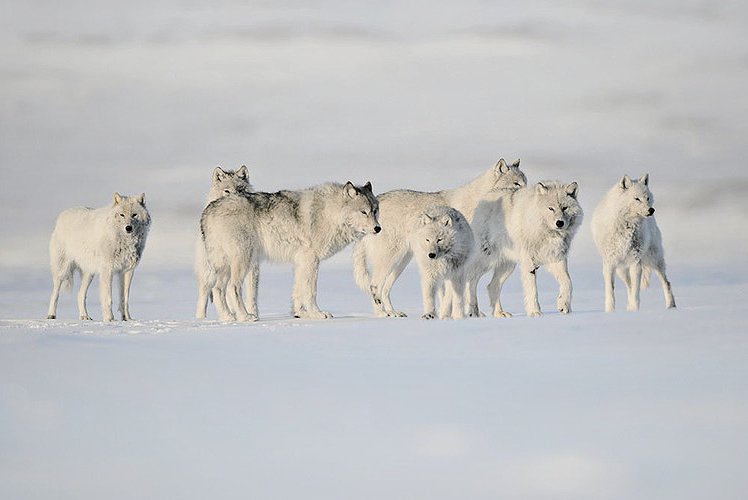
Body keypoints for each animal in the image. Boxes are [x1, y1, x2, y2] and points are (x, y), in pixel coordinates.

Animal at [47, 193, 151, 322]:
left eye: (134, 215)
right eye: (122, 215)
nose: (128, 227)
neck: (124, 241)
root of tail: (62, 215)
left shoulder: (127, 271)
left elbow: (124, 299)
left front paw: (127, 319)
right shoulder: (107, 271)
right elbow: (108, 298)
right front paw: (109, 319)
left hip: (89, 274)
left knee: (80, 295)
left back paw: (84, 316)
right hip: (62, 271)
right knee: (54, 293)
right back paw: (51, 315)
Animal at [201, 181, 380, 321]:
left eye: (375, 210)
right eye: (363, 211)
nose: (378, 228)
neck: (329, 213)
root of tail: (208, 210)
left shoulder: (301, 262)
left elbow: (298, 292)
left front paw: (300, 314)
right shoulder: (311, 260)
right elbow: (310, 291)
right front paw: (317, 314)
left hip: (223, 266)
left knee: (217, 289)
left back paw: (227, 318)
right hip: (243, 260)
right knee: (232, 288)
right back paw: (245, 317)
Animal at [352, 158, 526, 317]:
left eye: (526, 182)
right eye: (516, 184)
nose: (526, 195)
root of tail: (377, 202)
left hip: (402, 262)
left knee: (385, 289)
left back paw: (393, 313)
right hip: (391, 258)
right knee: (374, 286)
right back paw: (382, 314)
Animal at [464, 180, 583, 317]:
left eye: (565, 208)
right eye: (551, 208)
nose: (559, 223)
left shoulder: (556, 259)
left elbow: (568, 282)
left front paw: (564, 305)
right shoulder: (528, 263)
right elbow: (532, 290)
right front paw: (535, 312)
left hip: (508, 266)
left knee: (492, 285)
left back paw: (499, 313)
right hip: (486, 260)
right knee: (469, 280)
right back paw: (473, 311)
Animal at [591, 174, 675, 312]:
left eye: (647, 198)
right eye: (636, 198)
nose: (651, 210)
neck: (627, 226)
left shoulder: (636, 263)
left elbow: (636, 291)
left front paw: (635, 310)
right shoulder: (609, 264)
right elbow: (611, 292)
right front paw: (610, 312)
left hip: (654, 260)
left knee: (666, 283)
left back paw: (671, 307)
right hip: (621, 270)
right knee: (629, 286)